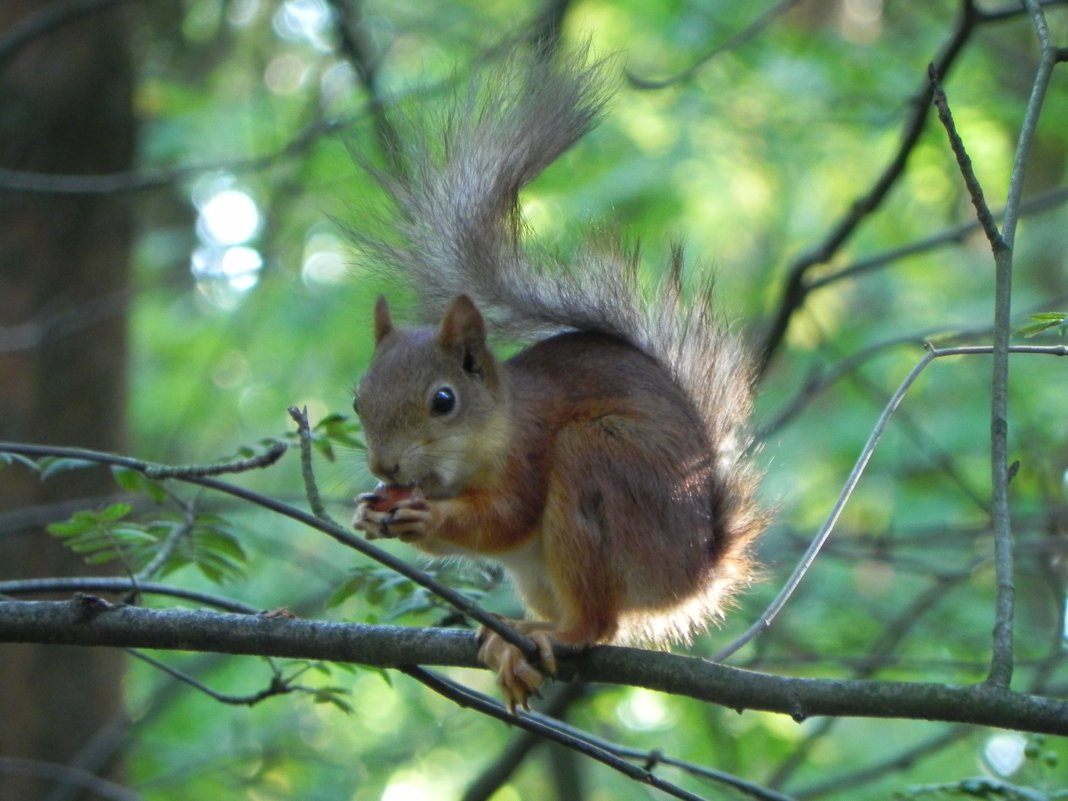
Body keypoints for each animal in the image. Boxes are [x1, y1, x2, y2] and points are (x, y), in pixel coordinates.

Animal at [352, 46, 768, 709]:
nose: (385, 468)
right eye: (358, 400)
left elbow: (506, 519)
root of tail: (693, 577)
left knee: (598, 623)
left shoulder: (529, 449)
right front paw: (369, 512)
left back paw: (559, 634)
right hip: (539, 572)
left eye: (443, 400)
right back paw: (517, 638)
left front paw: (427, 519)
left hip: (599, 466)